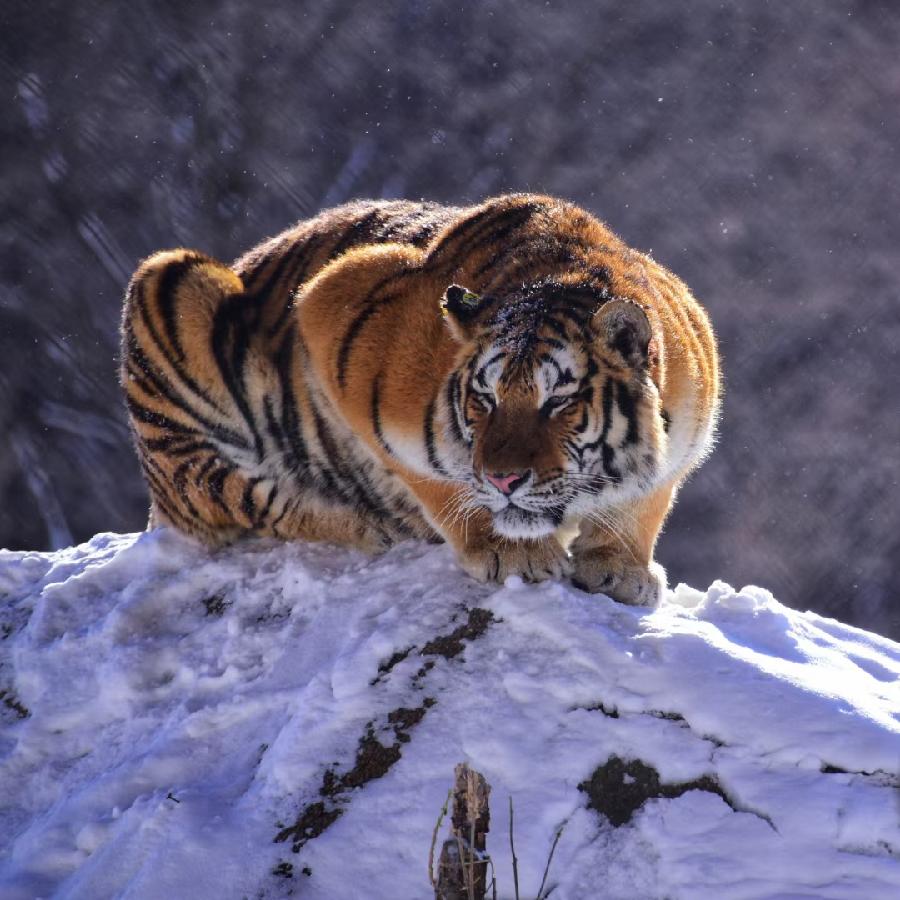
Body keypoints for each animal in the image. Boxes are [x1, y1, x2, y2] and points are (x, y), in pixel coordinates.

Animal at [121, 194, 720, 606]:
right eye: (485, 398)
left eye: (557, 402)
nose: (505, 479)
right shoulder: (331, 301)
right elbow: (437, 478)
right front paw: (510, 552)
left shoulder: (684, 436)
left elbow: (645, 501)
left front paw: (621, 569)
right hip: (168, 284)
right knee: (242, 497)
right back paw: (371, 525)